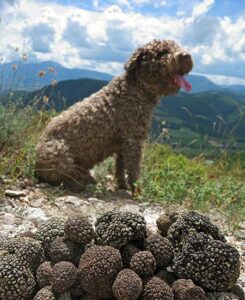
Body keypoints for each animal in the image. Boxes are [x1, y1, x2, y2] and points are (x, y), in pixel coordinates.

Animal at [36, 39, 193, 192]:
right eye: (162, 52)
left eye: (177, 46)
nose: (186, 56)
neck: (135, 90)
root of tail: (35, 162)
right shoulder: (133, 140)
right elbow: (134, 169)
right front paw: (137, 191)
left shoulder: (123, 144)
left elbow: (120, 167)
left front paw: (122, 185)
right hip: (60, 154)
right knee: (63, 178)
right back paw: (81, 182)